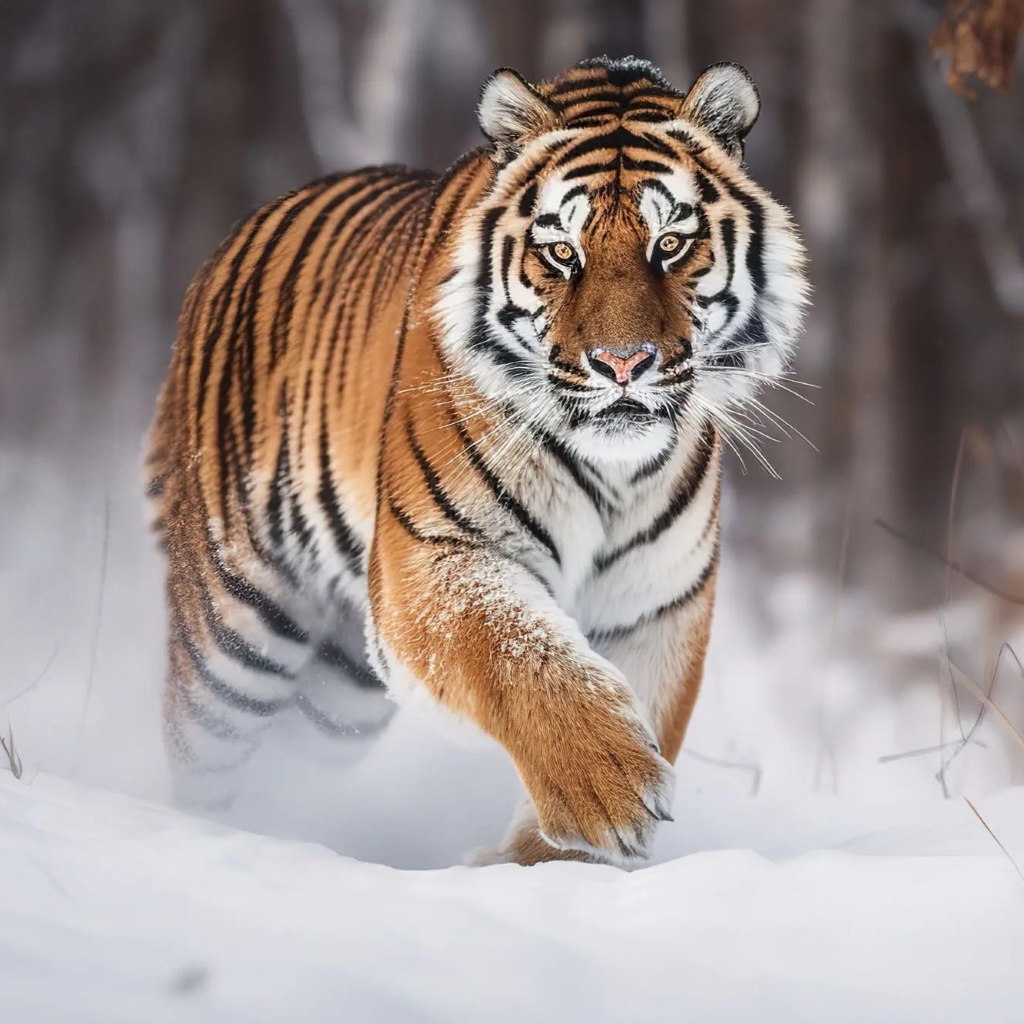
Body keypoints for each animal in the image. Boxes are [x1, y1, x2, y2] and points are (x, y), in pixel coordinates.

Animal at [146, 56, 808, 867]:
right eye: (563, 253)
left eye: (671, 246)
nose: (623, 364)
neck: (613, 473)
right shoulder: (436, 553)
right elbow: (516, 652)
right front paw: (610, 788)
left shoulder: (657, 603)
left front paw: (558, 861)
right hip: (233, 630)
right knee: (202, 751)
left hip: (340, 691)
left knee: (294, 761)